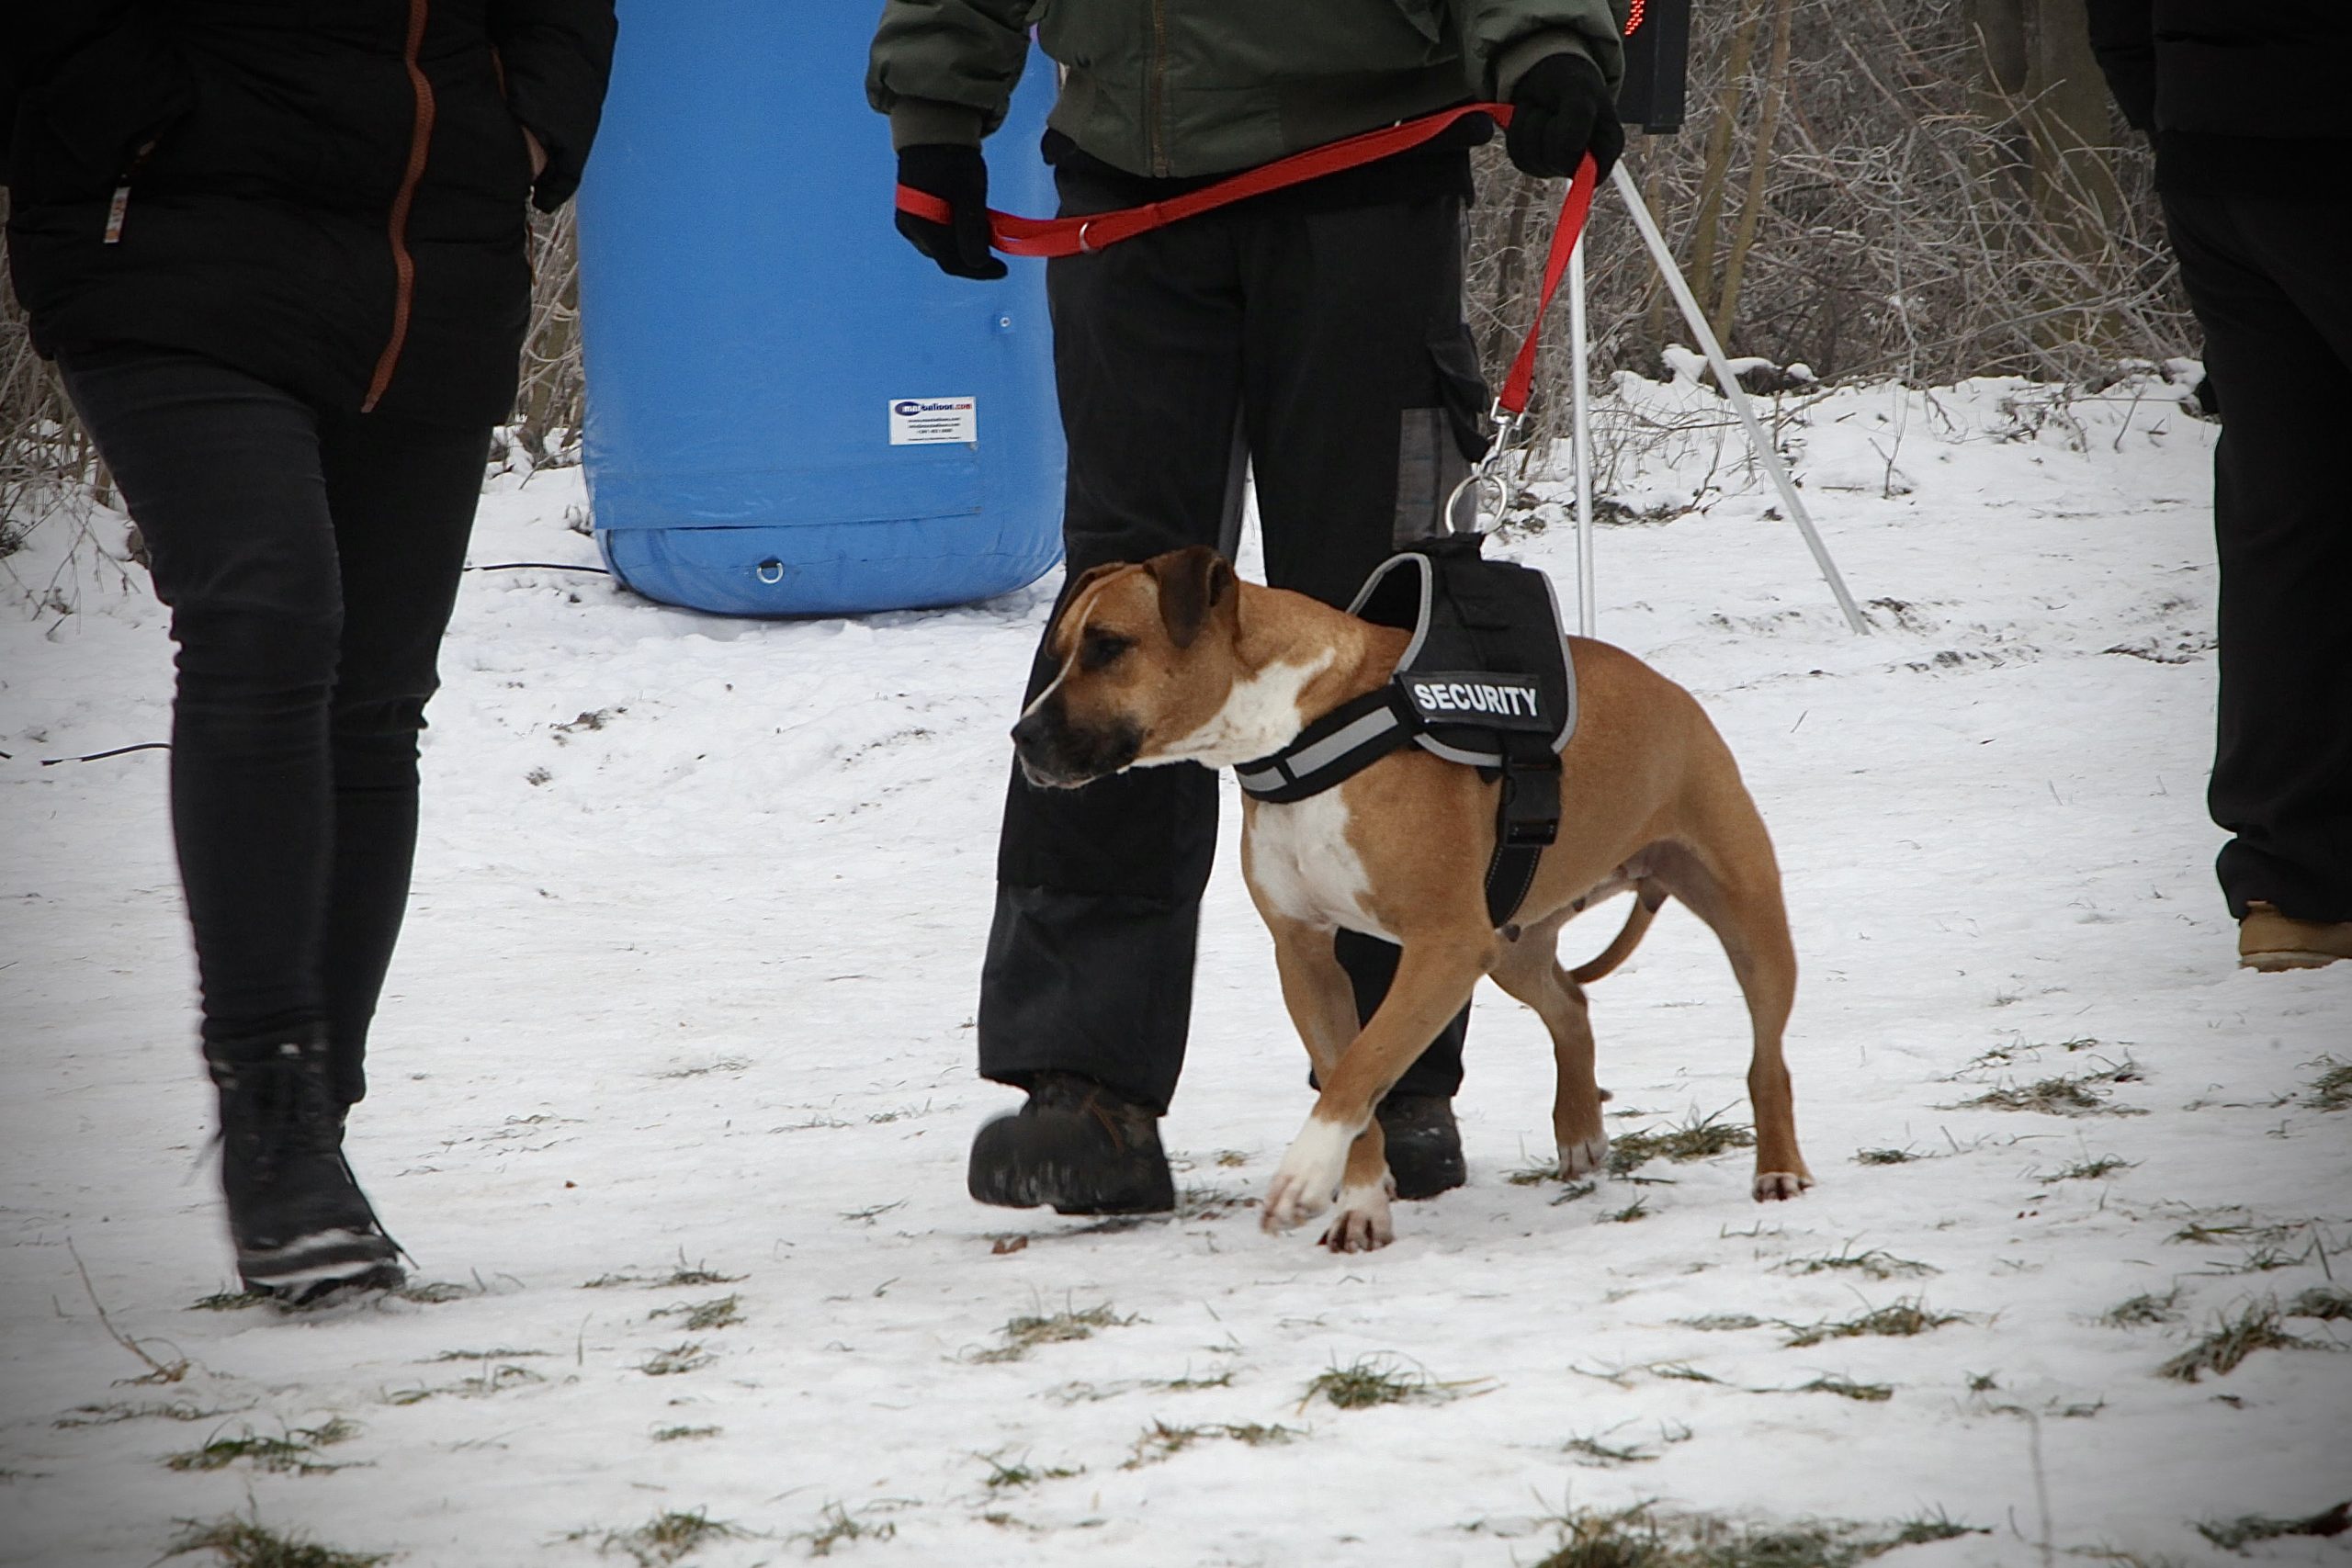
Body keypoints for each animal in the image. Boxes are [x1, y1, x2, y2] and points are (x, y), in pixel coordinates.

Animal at [1015, 545, 1815, 1259]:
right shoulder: (1307, 955)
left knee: (1767, 1055)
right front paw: (1362, 1205)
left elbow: (1361, 1065)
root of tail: (1672, 692)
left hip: (1745, 913)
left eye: (1109, 646)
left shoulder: (1443, 947)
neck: (1298, 730)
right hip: (1511, 944)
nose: (1022, 735)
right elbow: (1349, 1072)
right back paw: (1581, 1130)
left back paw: (1779, 1168)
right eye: (1061, 649)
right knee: (1570, 1006)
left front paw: (1304, 1174)